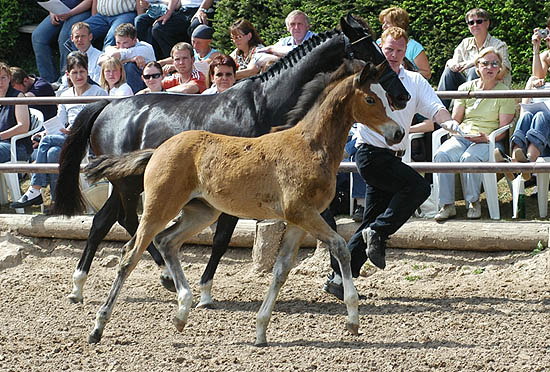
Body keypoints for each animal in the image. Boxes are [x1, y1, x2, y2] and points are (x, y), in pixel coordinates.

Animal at [86, 61, 406, 346]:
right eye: (370, 98)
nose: (398, 133)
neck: (309, 146)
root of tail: (157, 150)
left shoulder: (299, 220)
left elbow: (281, 270)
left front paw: (261, 330)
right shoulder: (302, 212)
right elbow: (340, 247)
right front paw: (352, 319)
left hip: (201, 212)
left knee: (167, 241)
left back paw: (182, 312)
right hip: (159, 207)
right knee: (130, 255)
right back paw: (98, 327)